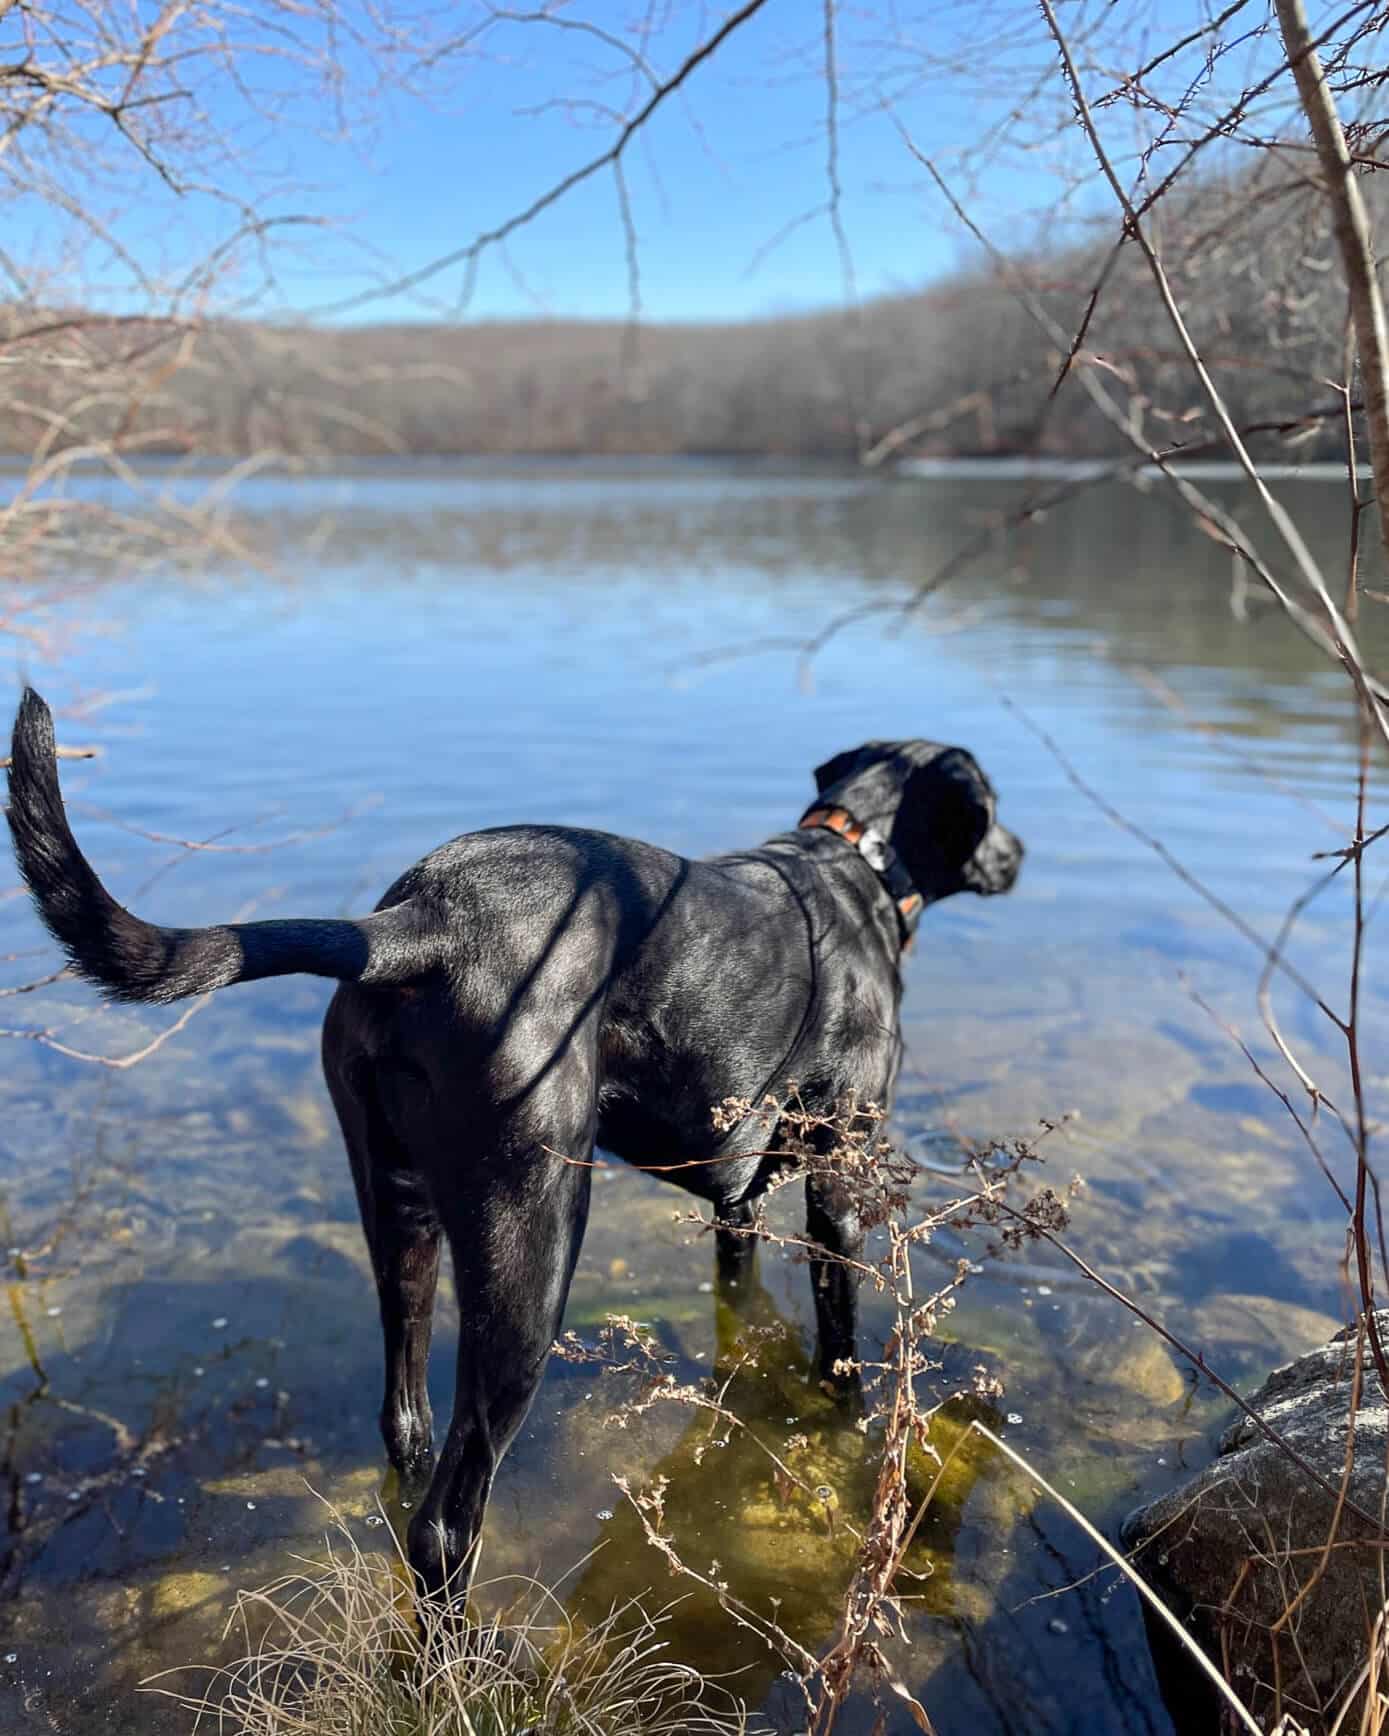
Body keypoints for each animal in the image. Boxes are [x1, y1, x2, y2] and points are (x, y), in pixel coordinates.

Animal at [2, 687, 1020, 1597]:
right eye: (996, 806)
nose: (1017, 855)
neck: (856, 866)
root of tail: (421, 920)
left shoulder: (736, 1195)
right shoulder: (838, 1183)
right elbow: (841, 1343)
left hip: (398, 1212)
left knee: (407, 1424)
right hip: (534, 1241)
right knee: (447, 1525)